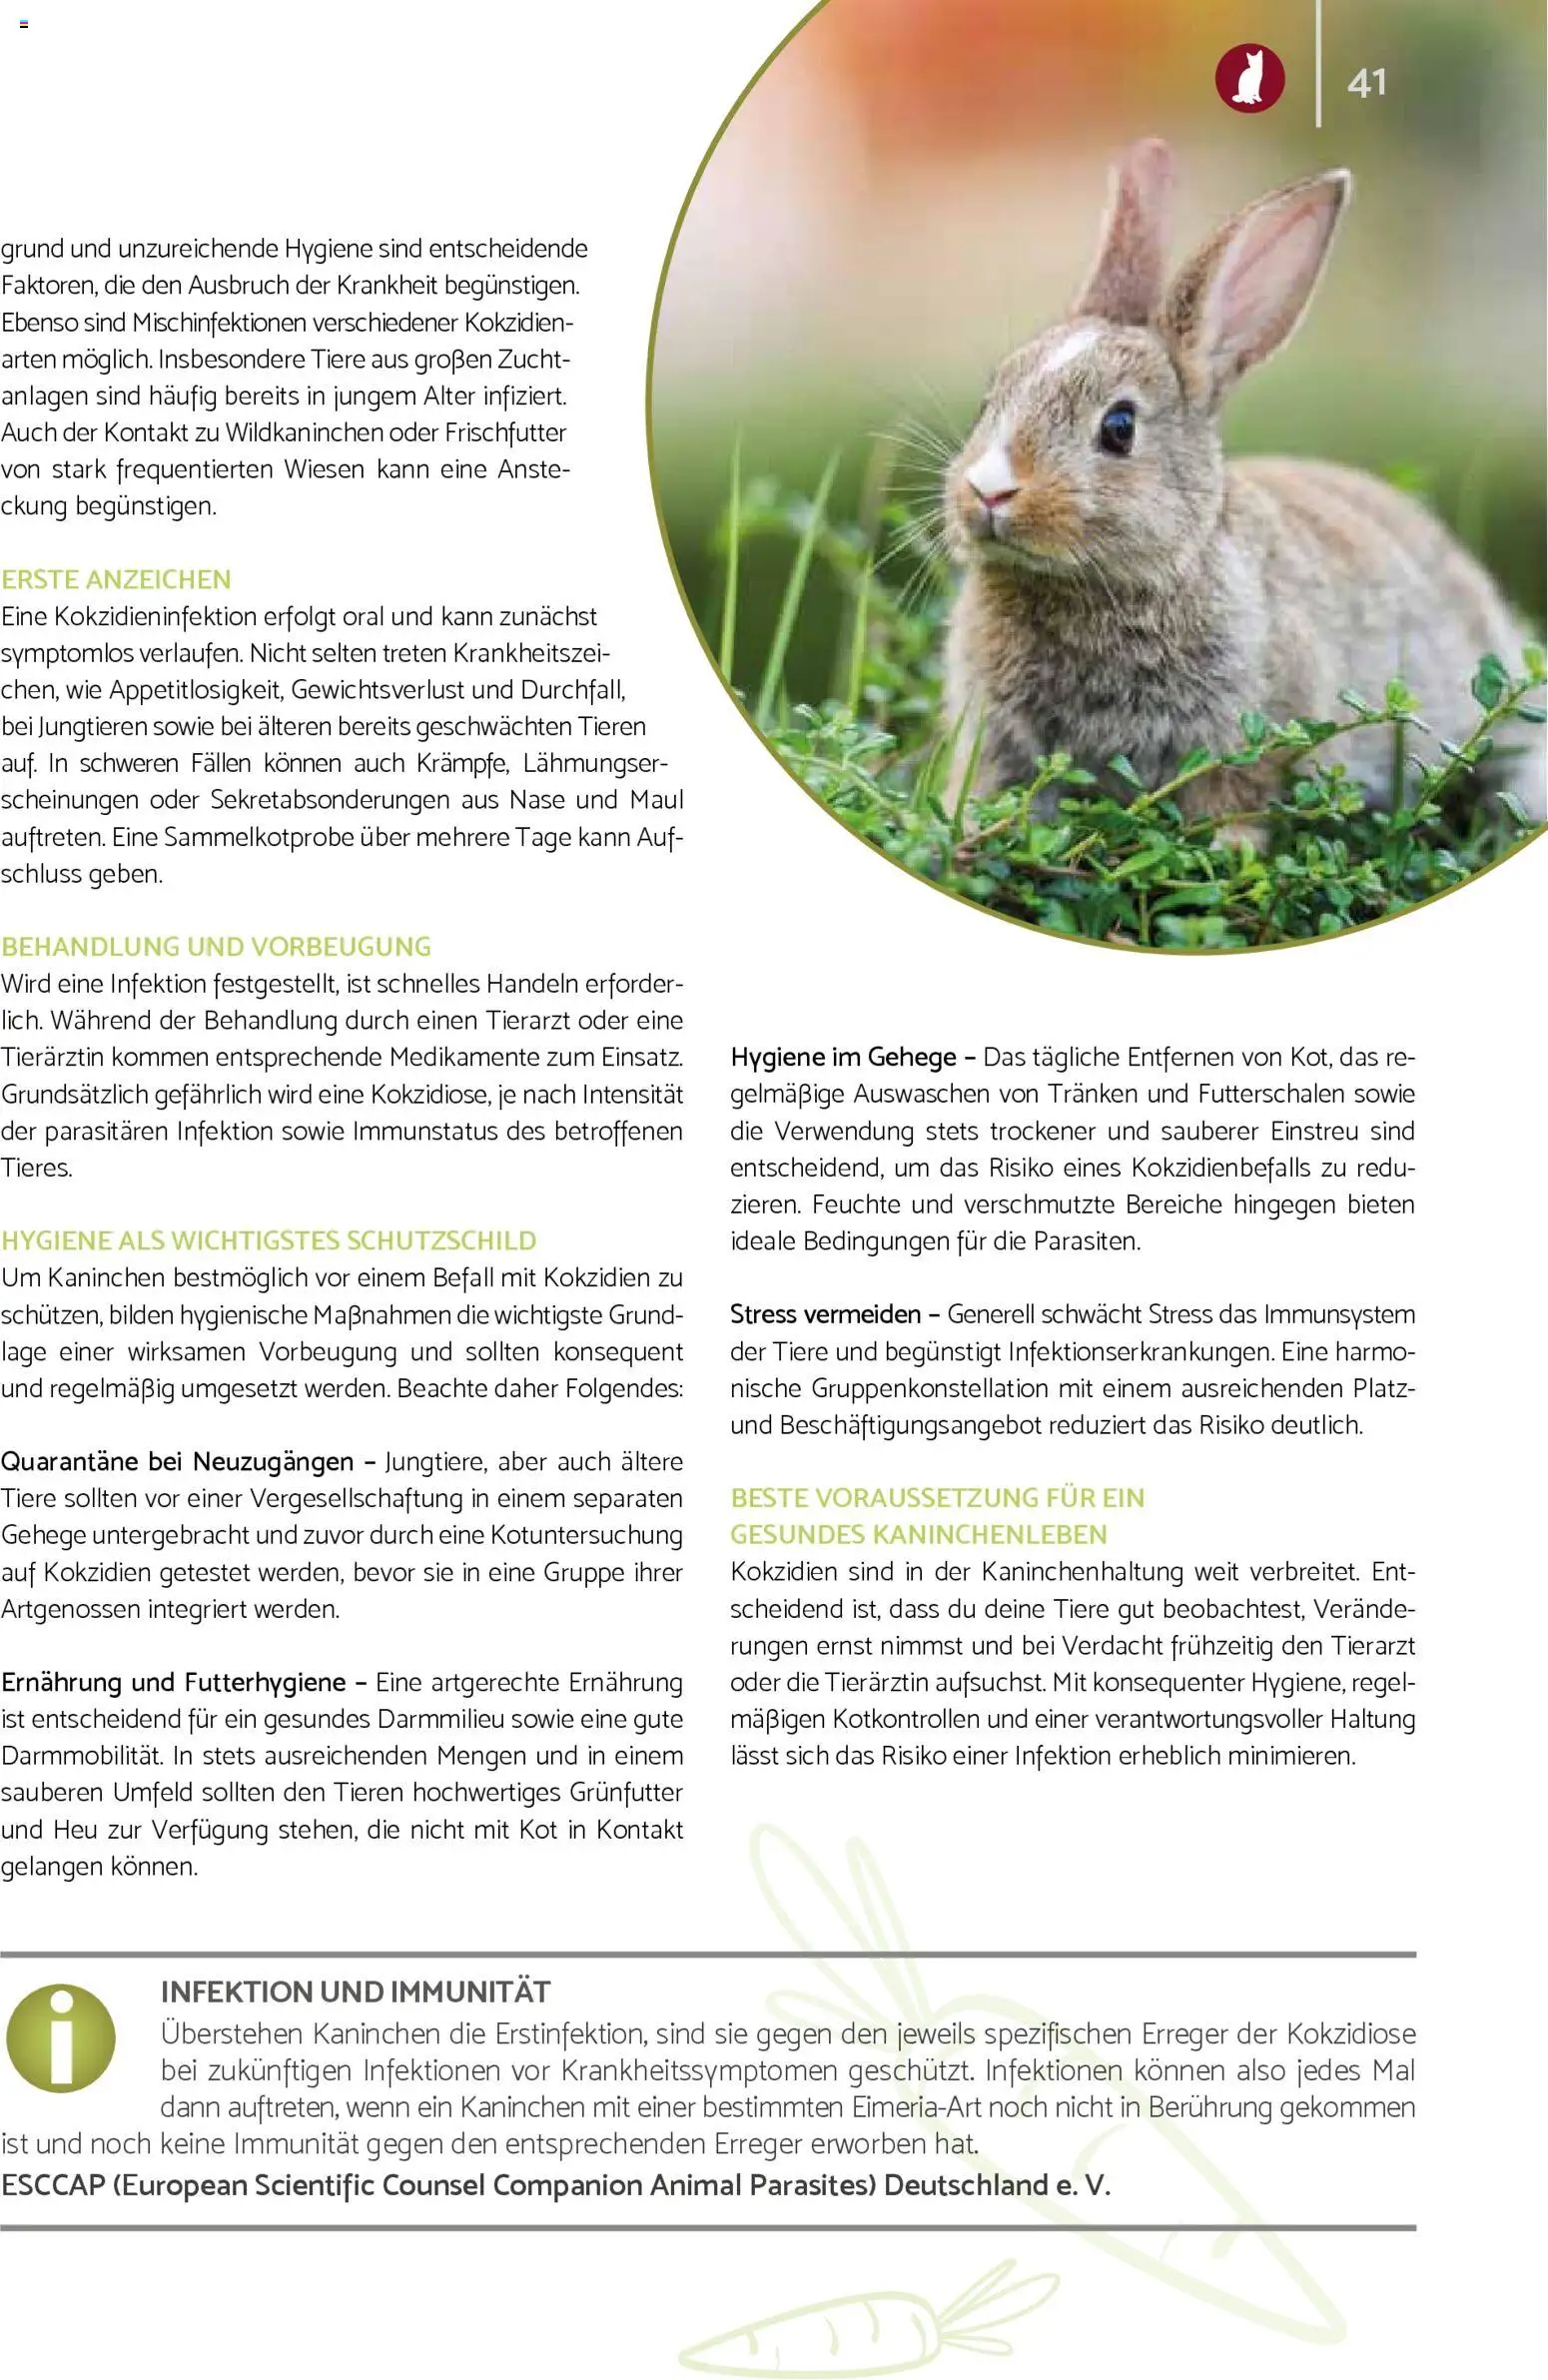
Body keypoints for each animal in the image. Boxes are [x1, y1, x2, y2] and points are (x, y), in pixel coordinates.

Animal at [943, 139, 1545, 835]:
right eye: (991, 397)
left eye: (1119, 428)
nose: (988, 491)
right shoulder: (998, 741)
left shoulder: (1250, 730)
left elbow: (1232, 798)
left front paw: (1230, 846)